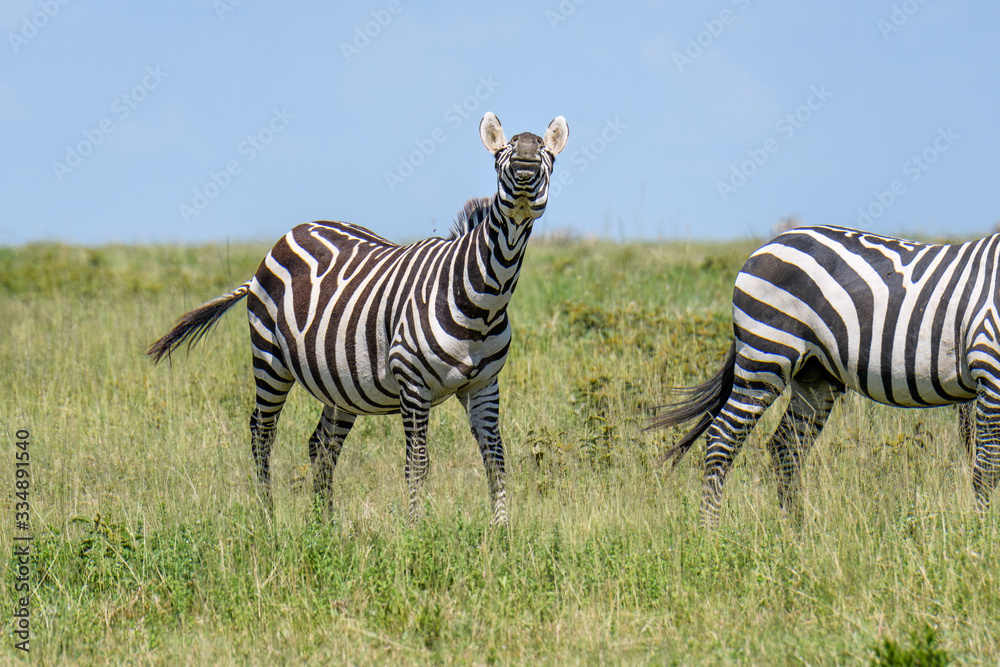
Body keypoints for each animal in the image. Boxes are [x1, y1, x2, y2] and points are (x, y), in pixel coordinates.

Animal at [148, 112, 569, 526]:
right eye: (503, 155)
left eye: (546, 155)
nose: (526, 161)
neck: (482, 298)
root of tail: (295, 230)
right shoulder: (411, 381)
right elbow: (417, 464)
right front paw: (416, 532)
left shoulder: (484, 385)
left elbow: (495, 459)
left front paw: (501, 533)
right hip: (269, 359)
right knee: (262, 433)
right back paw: (268, 516)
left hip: (339, 383)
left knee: (321, 444)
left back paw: (324, 526)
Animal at [651, 225, 1000, 528]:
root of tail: (771, 242)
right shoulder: (990, 368)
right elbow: (987, 467)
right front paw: (981, 537)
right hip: (766, 356)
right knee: (723, 437)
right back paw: (709, 534)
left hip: (814, 376)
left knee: (784, 447)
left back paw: (795, 537)